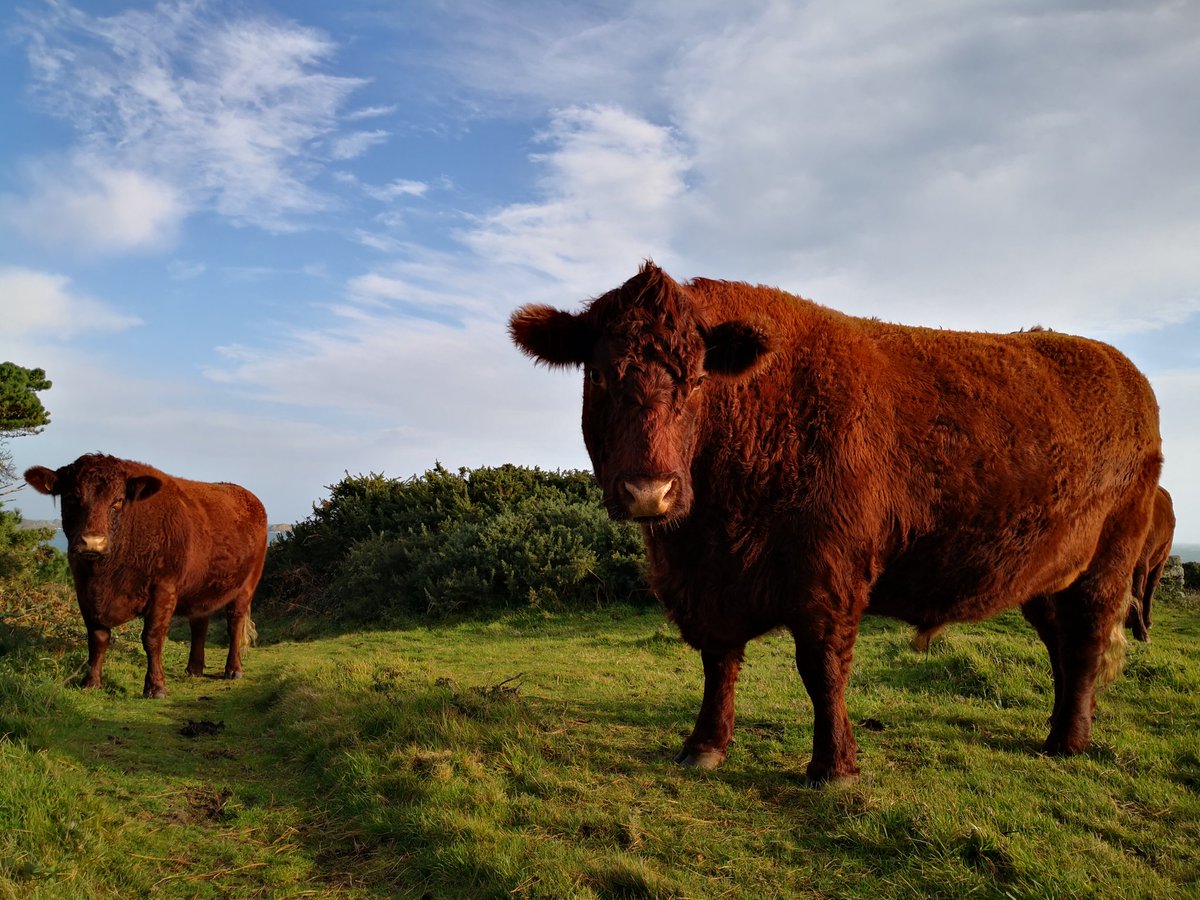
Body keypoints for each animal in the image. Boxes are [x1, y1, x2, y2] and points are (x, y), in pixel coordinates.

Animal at [24, 454, 267, 699]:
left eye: (118, 501)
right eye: (71, 497)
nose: (92, 542)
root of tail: (246, 495)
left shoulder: (164, 589)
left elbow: (152, 637)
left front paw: (155, 686)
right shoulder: (84, 590)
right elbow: (97, 638)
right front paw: (91, 682)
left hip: (247, 584)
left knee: (234, 622)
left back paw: (233, 669)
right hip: (201, 587)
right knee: (199, 622)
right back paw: (194, 668)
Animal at [509, 262, 1162, 784]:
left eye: (696, 379)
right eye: (598, 376)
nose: (650, 490)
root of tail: (1127, 373)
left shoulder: (828, 576)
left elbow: (821, 667)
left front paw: (833, 766)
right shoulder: (706, 585)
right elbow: (718, 662)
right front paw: (704, 746)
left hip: (1108, 561)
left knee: (1087, 637)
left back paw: (1070, 741)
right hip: (1048, 574)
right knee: (1061, 641)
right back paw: (1058, 730)